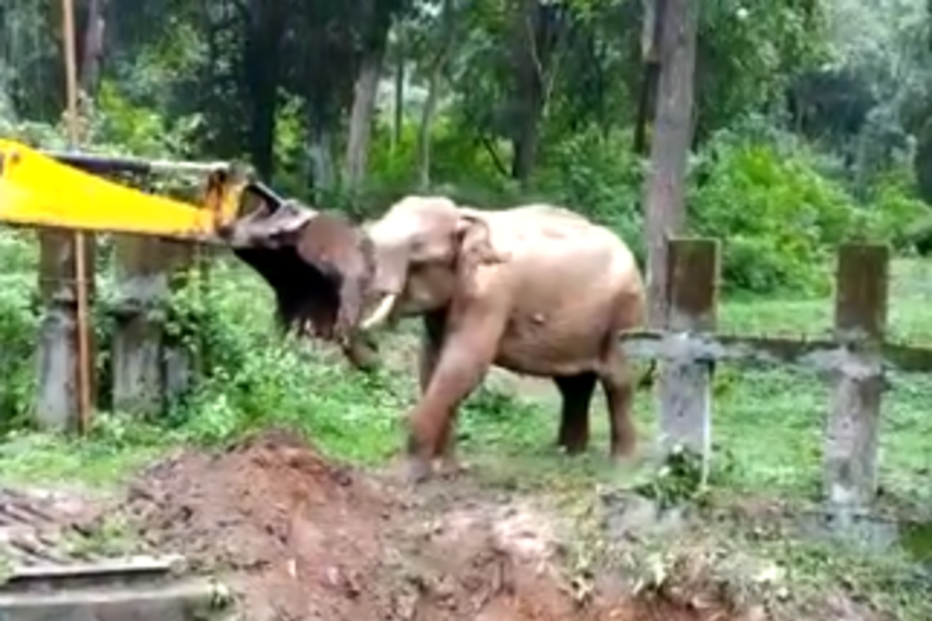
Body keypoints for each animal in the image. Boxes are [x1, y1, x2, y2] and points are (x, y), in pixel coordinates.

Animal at [355, 196, 648, 482]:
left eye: (416, 255)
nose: (372, 345)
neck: (462, 214)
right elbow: (431, 366)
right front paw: (447, 471)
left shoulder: (489, 296)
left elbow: (462, 366)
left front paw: (410, 476)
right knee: (574, 384)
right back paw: (568, 454)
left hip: (625, 314)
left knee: (618, 381)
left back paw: (621, 467)